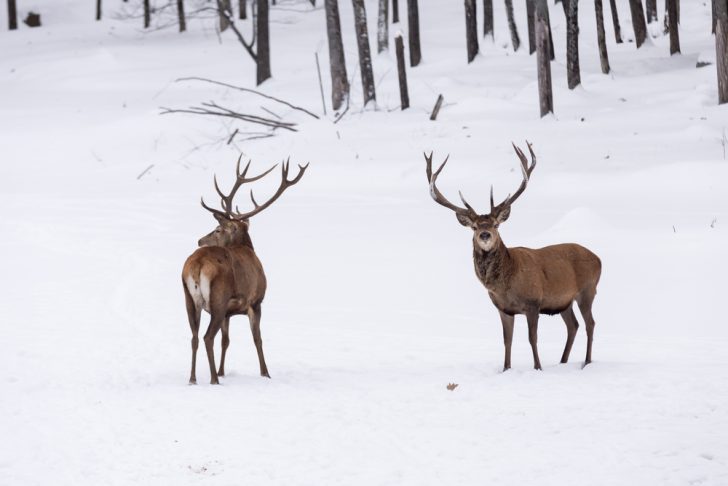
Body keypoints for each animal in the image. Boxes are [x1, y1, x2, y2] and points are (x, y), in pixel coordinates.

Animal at [183, 158, 308, 386]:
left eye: (217, 229)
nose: (199, 240)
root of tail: (197, 264)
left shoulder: (228, 313)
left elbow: (226, 340)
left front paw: (223, 370)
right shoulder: (256, 302)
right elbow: (257, 338)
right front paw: (265, 373)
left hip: (189, 298)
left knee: (194, 337)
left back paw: (193, 379)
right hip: (218, 298)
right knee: (207, 337)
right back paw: (214, 380)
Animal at [424, 142, 600, 370]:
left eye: (496, 224)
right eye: (474, 227)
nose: (485, 234)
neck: (505, 285)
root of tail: (599, 259)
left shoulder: (533, 302)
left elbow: (532, 338)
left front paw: (538, 367)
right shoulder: (503, 309)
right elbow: (507, 340)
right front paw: (506, 368)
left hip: (588, 290)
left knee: (590, 323)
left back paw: (586, 362)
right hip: (564, 302)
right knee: (573, 325)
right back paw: (563, 361)